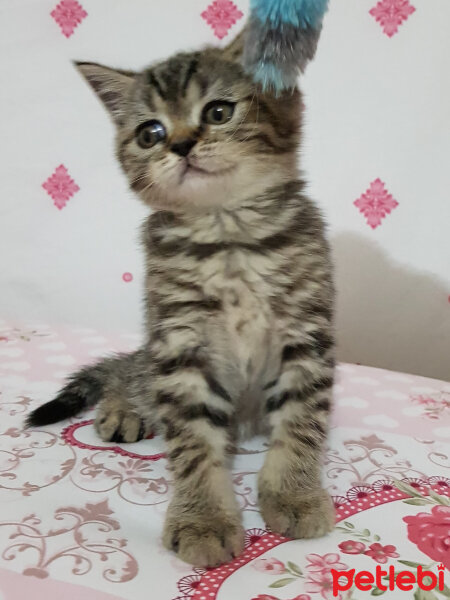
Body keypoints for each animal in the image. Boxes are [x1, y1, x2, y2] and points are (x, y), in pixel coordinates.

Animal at [26, 32, 336, 568]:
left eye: (218, 112)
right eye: (150, 132)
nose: (181, 144)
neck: (228, 235)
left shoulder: (306, 331)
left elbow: (300, 422)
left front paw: (295, 493)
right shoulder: (180, 341)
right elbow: (192, 443)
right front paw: (203, 519)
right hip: (152, 352)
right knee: (131, 375)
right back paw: (122, 409)